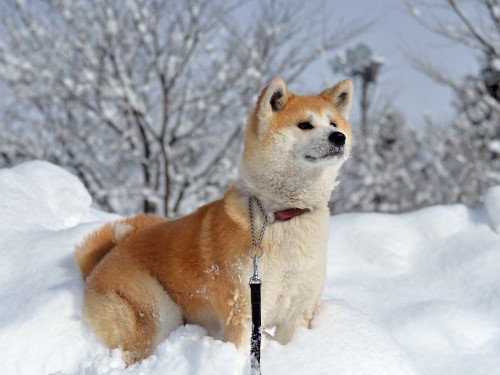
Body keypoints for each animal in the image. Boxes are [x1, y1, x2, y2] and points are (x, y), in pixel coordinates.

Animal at [76, 78, 354, 366]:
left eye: (333, 123)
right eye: (304, 125)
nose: (339, 137)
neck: (281, 214)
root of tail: (100, 262)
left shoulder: (299, 310)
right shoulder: (244, 311)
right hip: (156, 311)